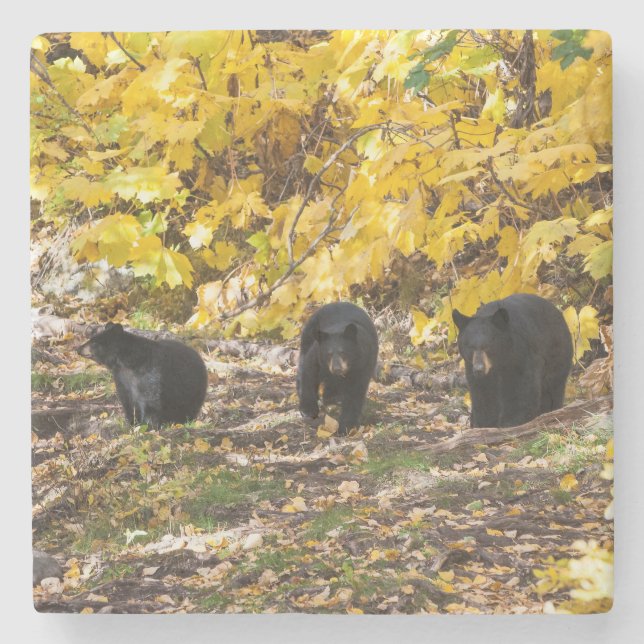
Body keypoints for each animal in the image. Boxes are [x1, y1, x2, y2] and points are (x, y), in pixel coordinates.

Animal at [78, 322, 208, 427]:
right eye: (92, 338)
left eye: (94, 342)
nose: (78, 348)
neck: (126, 362)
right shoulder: (121, 377)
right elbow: (127, 399)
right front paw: (131, 423)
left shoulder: (150, 373)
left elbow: (151, 399)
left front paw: (149, 425)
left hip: (193, 389)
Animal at [297, 302, 378, 435]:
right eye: (329, 353)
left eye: (343, 352)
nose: (337, 368)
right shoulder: (318, 356)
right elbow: (309, 373)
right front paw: (308, 410)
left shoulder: (362, 364)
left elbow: (355, 393)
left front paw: (346, 426)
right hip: (308, 337)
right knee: (302, 363)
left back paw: (332, 398)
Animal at [452, 293, 573, 428]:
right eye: (470, 346)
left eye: (488, 346)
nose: (479, 369)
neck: (498, 363)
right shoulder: (471, 367)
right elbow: (483, 394)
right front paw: (484, 423)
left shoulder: (521, 357)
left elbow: (521, 390)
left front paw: (511, 422)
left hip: (557, 354)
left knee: (553, 388)